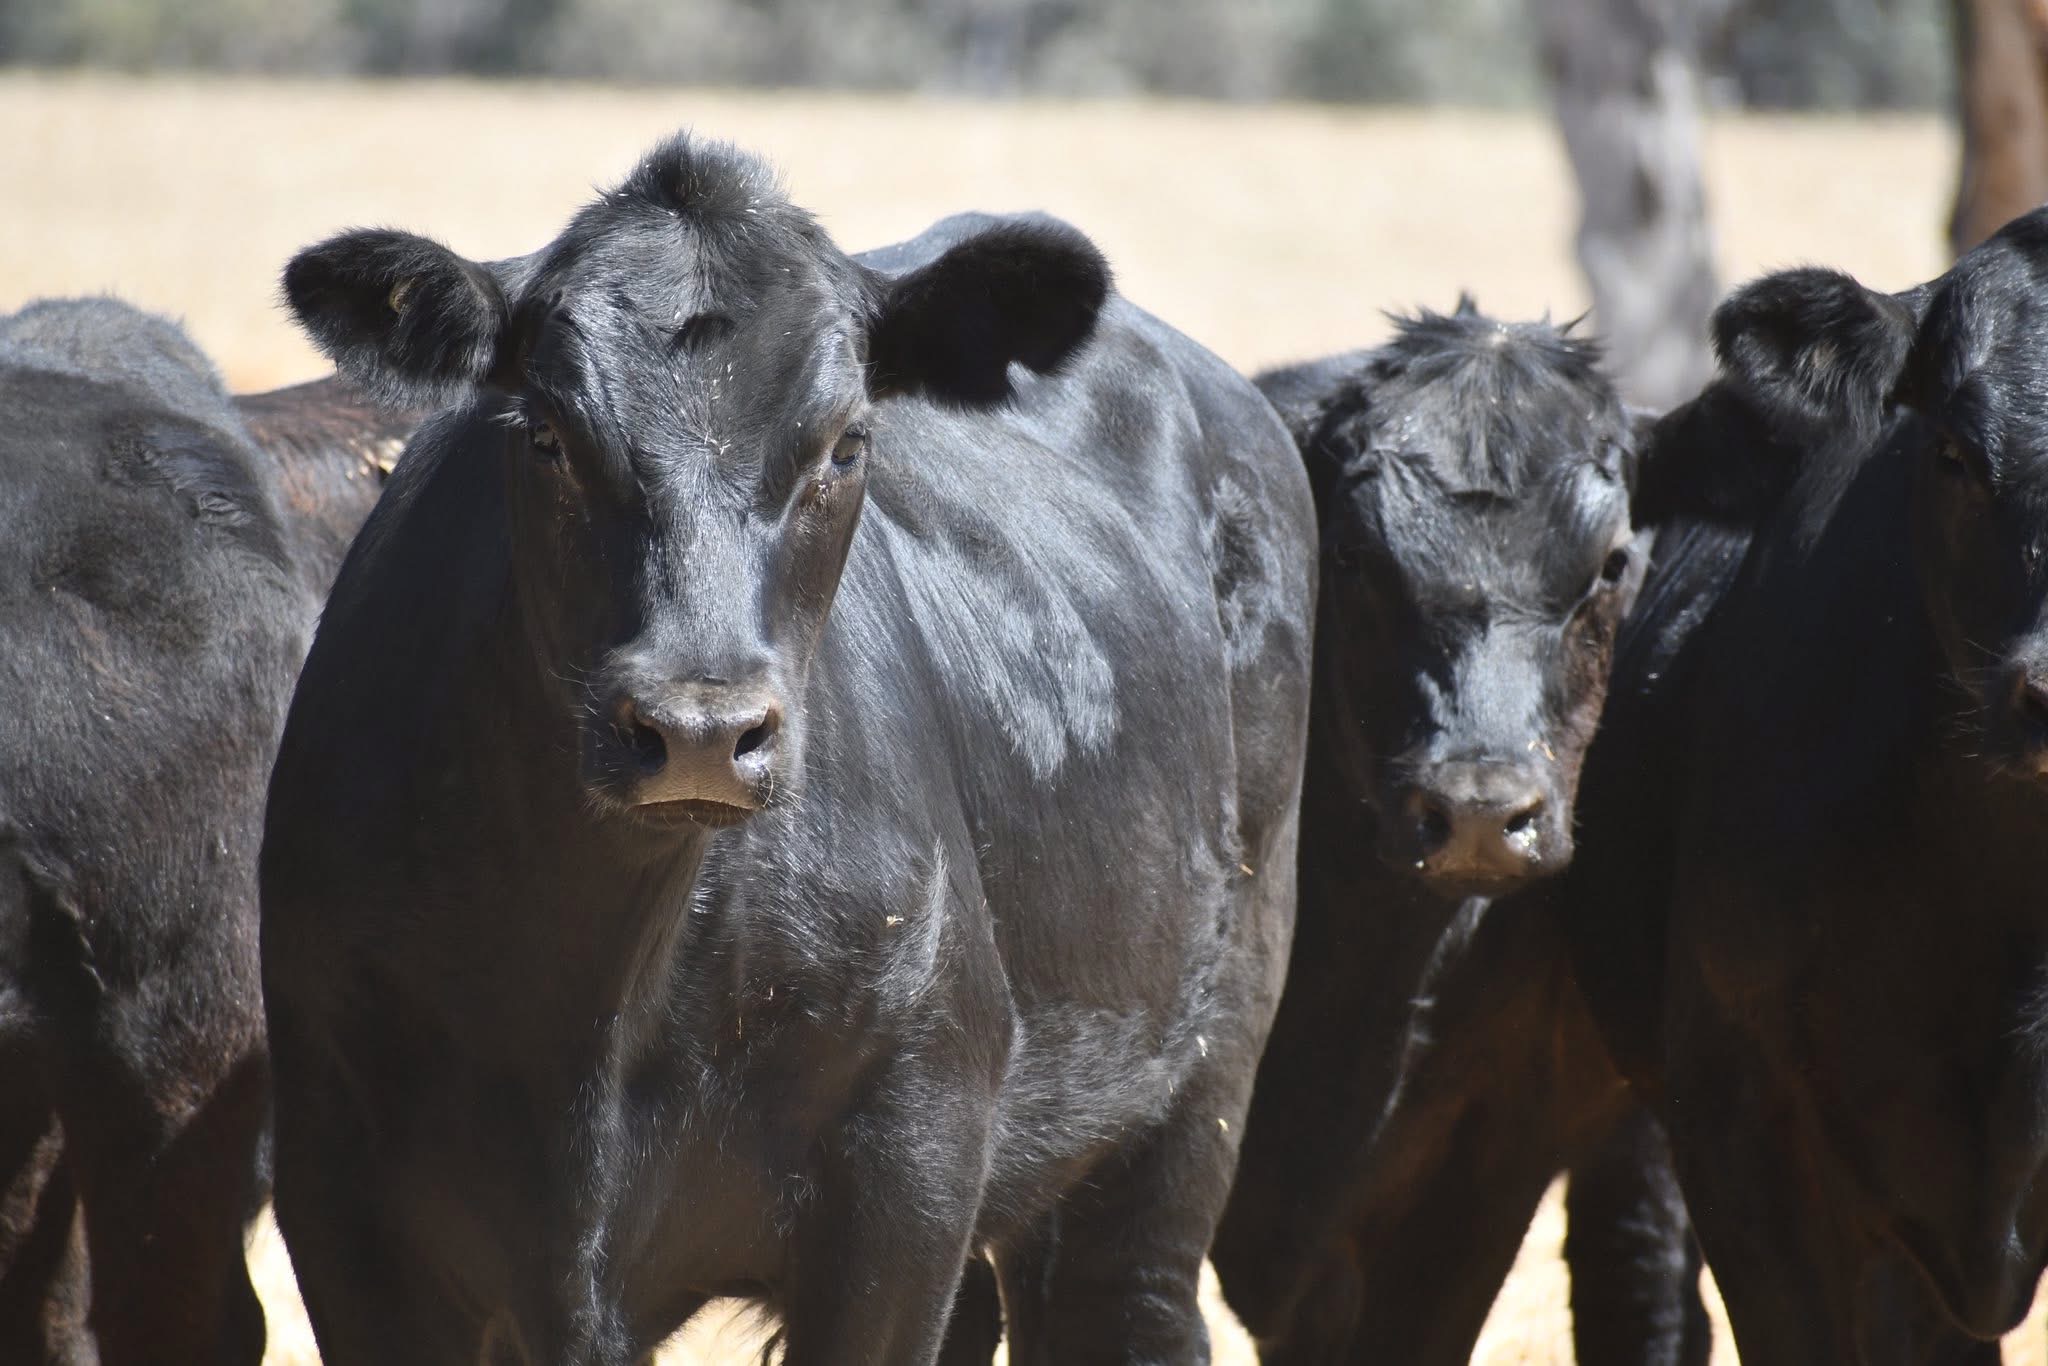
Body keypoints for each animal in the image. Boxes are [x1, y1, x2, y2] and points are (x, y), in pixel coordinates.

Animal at [258, 131, 1316, 1366]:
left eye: (845, 444)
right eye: (547, 437)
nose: (699, 733)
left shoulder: (906, 1171)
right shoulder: (342, 1195)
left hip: (1190, 1080)